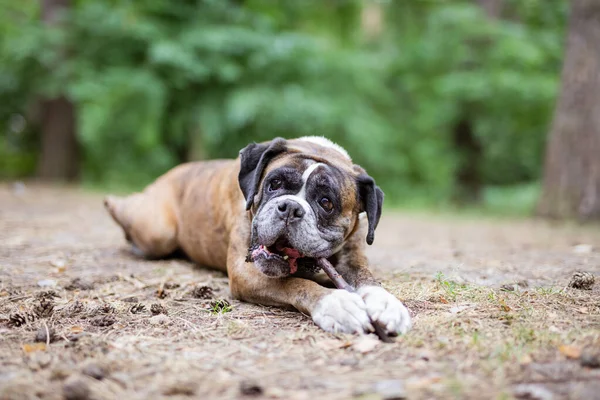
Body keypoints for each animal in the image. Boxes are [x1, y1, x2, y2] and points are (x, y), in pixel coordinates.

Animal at [104, 137, 412, 334]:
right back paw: (112, 203)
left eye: (326, 202)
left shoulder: (352, 259)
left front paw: (388, 304)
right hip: (159, 231)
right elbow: (296, 284)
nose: (290, 208)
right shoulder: (246, 273)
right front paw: (336, 304)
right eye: (274, 184)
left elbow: (368, 280)